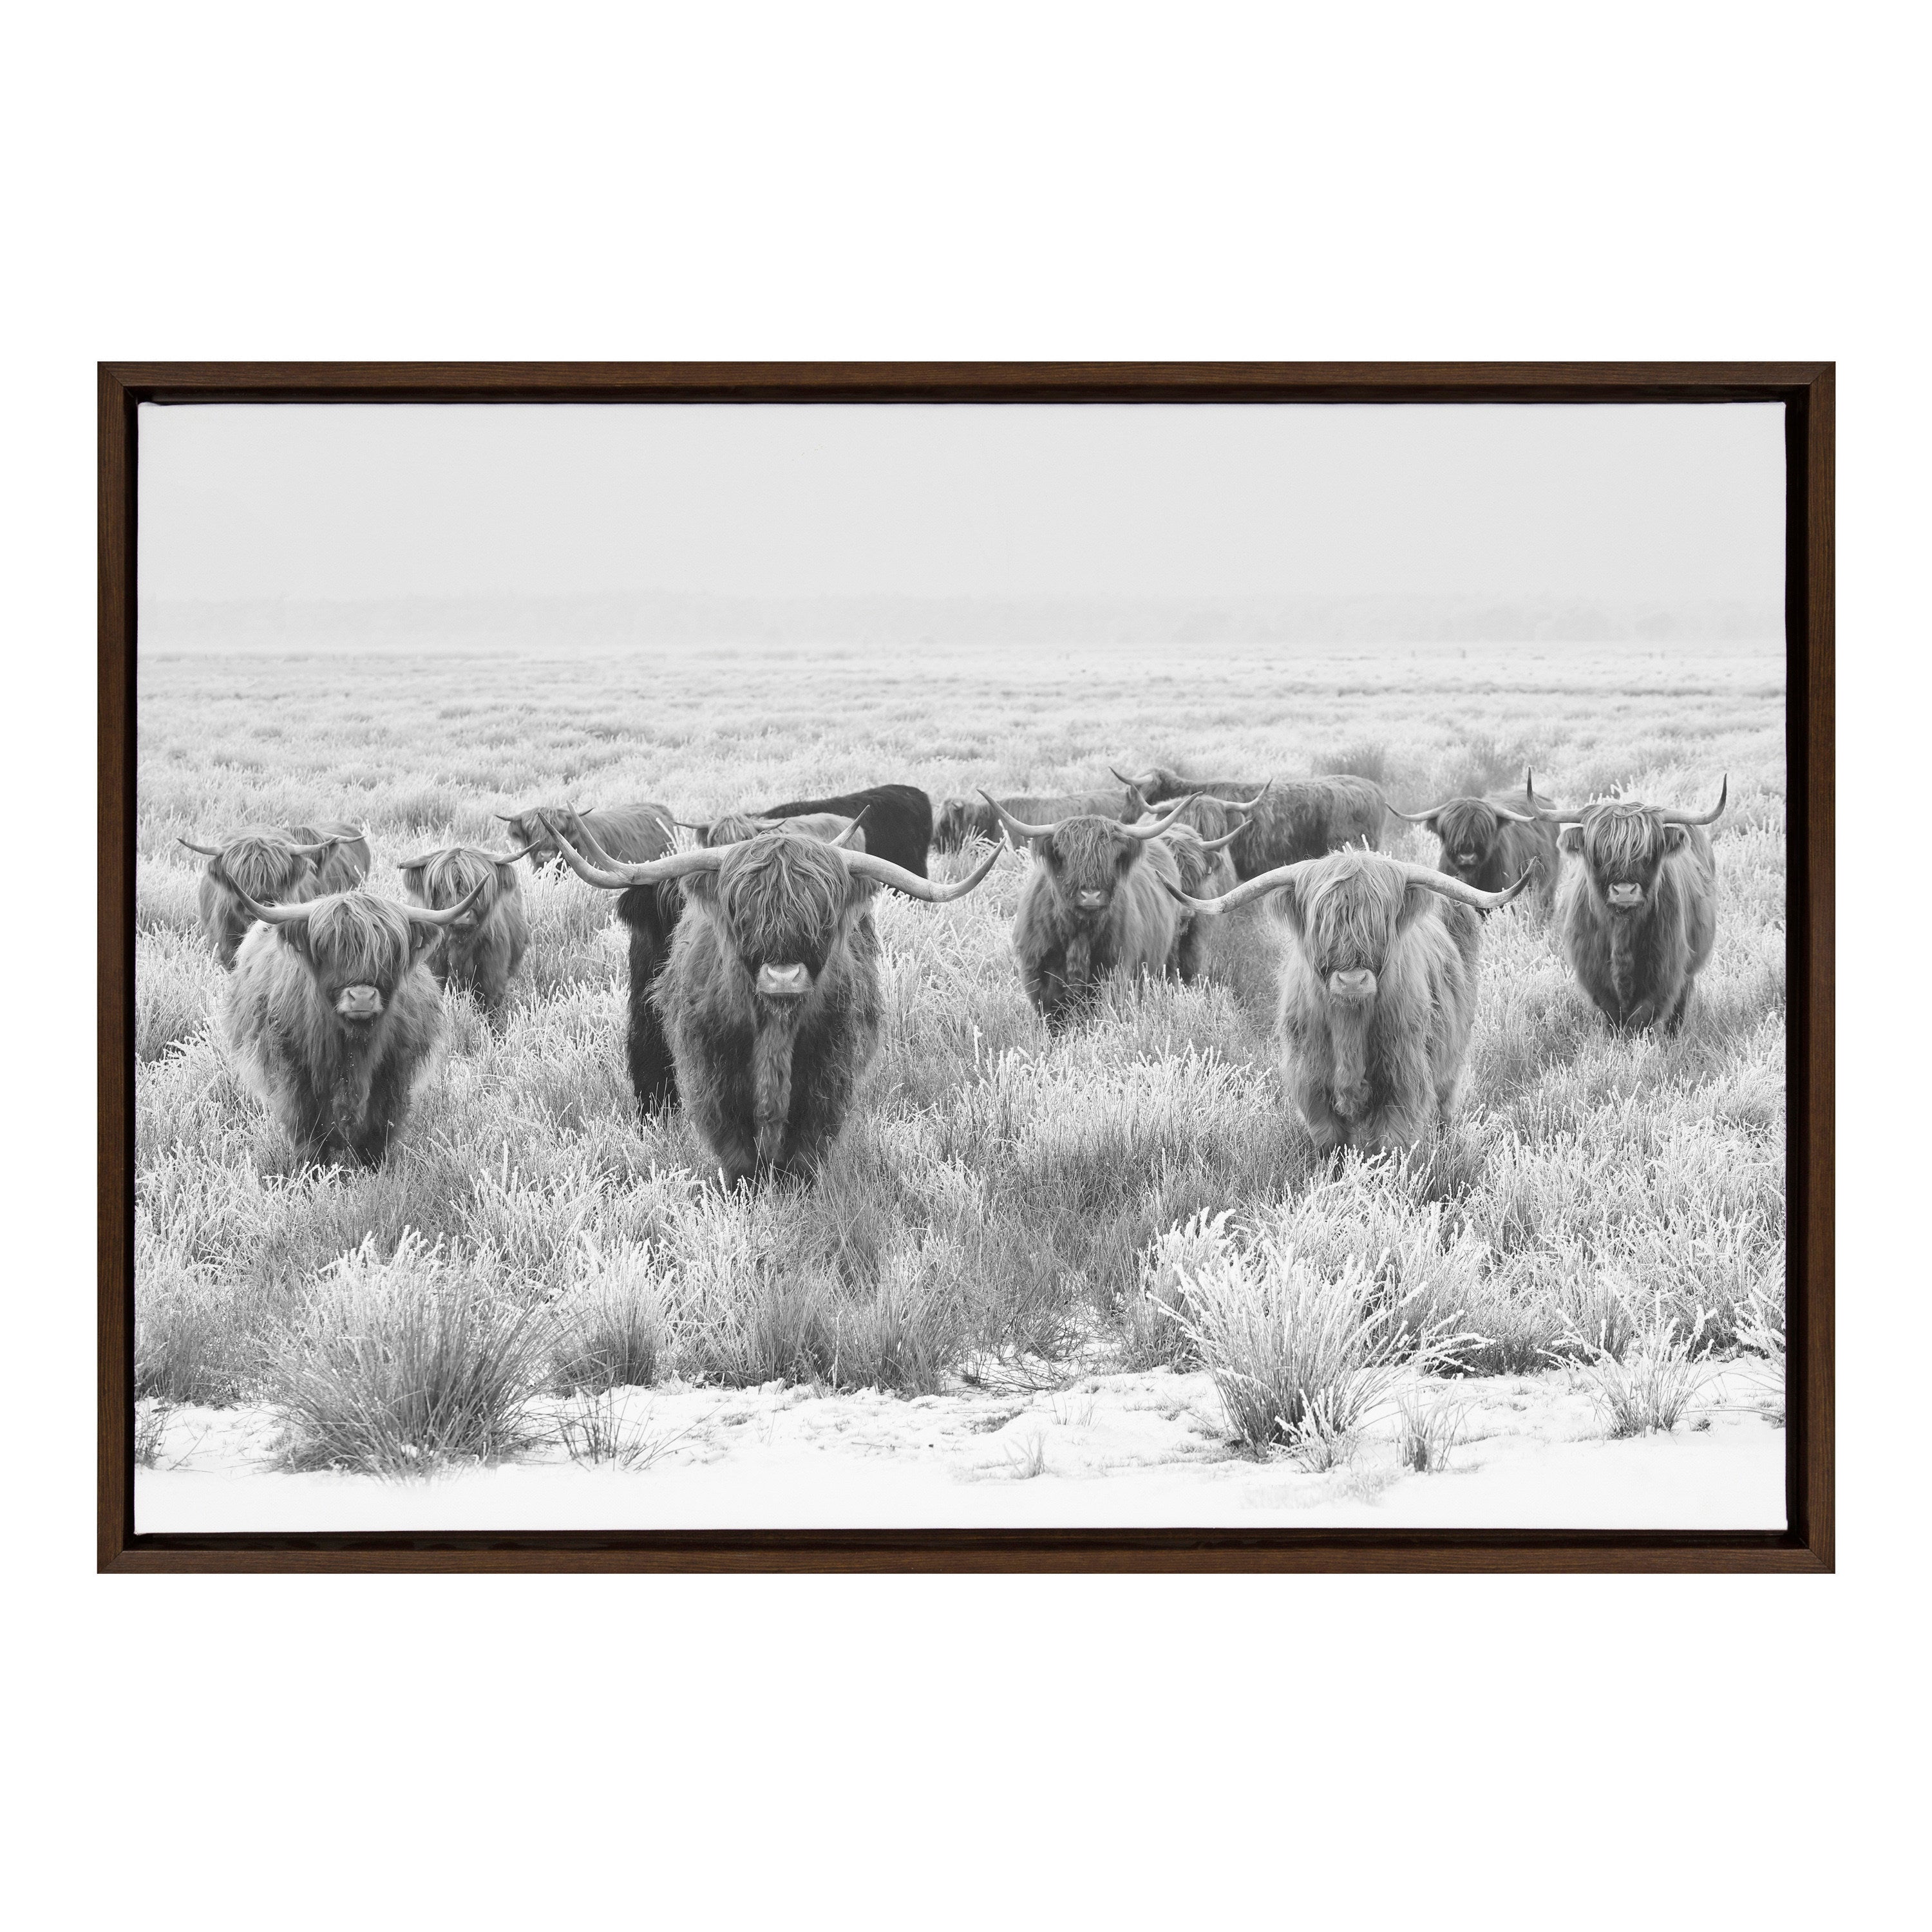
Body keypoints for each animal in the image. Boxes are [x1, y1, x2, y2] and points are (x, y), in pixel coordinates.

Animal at [220, 879, 484, 1165]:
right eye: (328, 947)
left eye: (390, 950)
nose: (362, 997)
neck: (353, 1046)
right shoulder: (295, 1075)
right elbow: (307, 1132)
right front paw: (312, 1170)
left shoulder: (394, 1074)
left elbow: (379, 1131)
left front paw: (373, 1169)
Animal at [547, 819, 998, 1186]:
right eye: (740, 910)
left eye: (823, 914)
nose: (783, 977)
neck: (775, 1029)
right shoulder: (713, 1075)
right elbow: (737, 1150)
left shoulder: (829, 1075)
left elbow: (805, 1151)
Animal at [981, 792, 1237, 1028]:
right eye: (1065, 855)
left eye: (1112, 856)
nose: (1090, 895)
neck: (1079, 932)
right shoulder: (1041, 977)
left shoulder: (1114, 972)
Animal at [1169, 851, 1528, 1155]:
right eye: (1321, 921)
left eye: (1381, 921)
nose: (1352, 981)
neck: (1350, 1026)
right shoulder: (1312, 1085)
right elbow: (1332, 1146)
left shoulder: (1403, 1082)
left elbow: (1390, 1147)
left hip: (1452, 1059)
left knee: (1444, 1107)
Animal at [1530, 775, 1728, 1033]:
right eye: (1598, 852)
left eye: (1649, 852)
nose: (1624, 892)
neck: (1621, 930)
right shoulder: (1595, 977)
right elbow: (1614, 1018)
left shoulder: (1664, 973)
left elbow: (1641, 1019)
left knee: (1679, 1007)